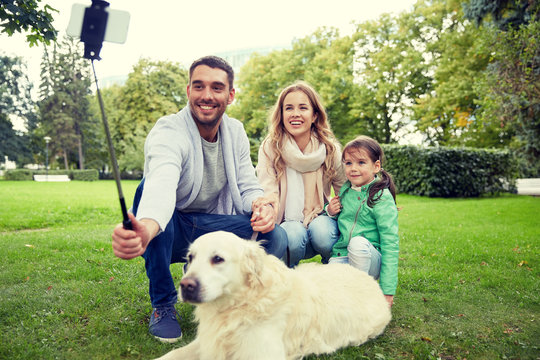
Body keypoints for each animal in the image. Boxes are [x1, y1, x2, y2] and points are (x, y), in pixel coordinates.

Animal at [156, 231, 392, 360]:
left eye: (217, 259)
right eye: (191, 257)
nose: (185, 286)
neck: (238, 306)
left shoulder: (261, 354)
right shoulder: (208, 341)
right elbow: (172, 354)